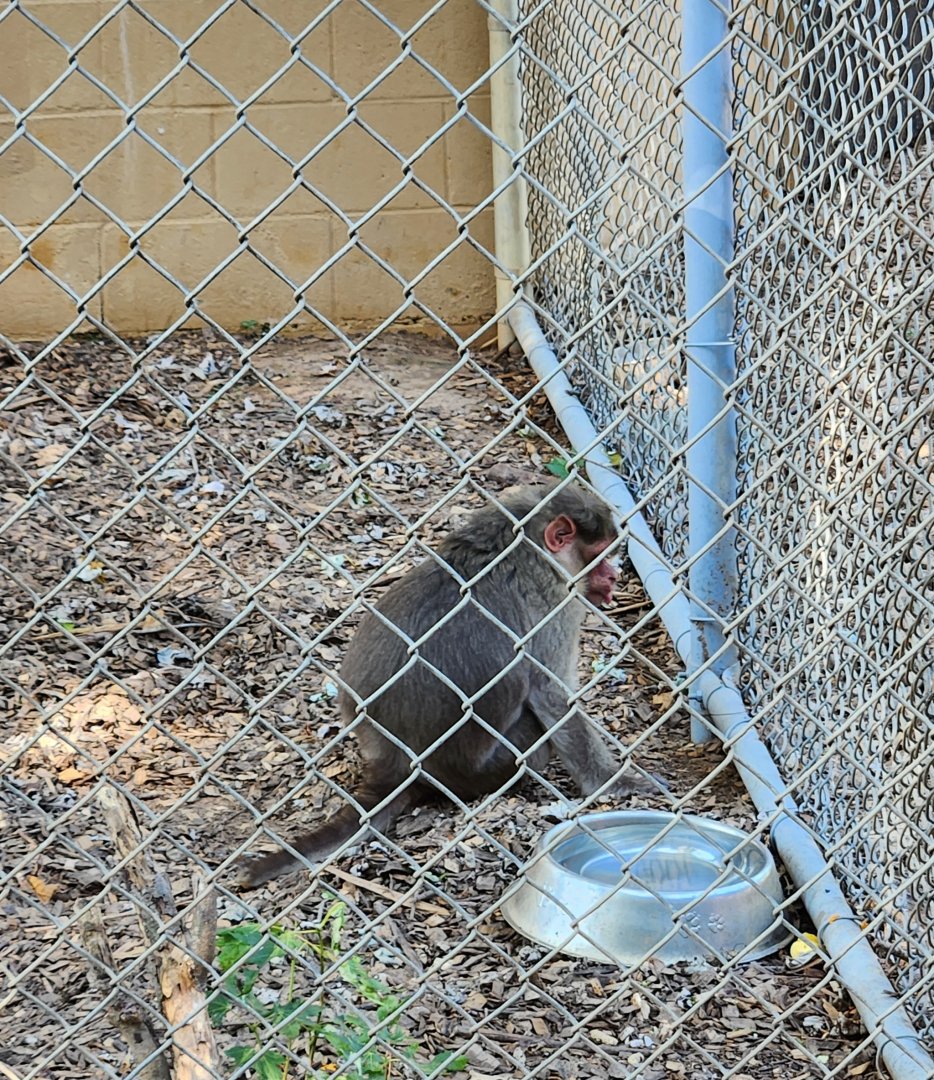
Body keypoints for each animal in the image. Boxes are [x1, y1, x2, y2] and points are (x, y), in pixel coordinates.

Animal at [239, 481, 655, 886]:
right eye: (600, 553)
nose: (613, 576)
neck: (522, 546)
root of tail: (396, 765)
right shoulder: (555, 602)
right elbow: (552, 696)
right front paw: (612, 781)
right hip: (485, 767)